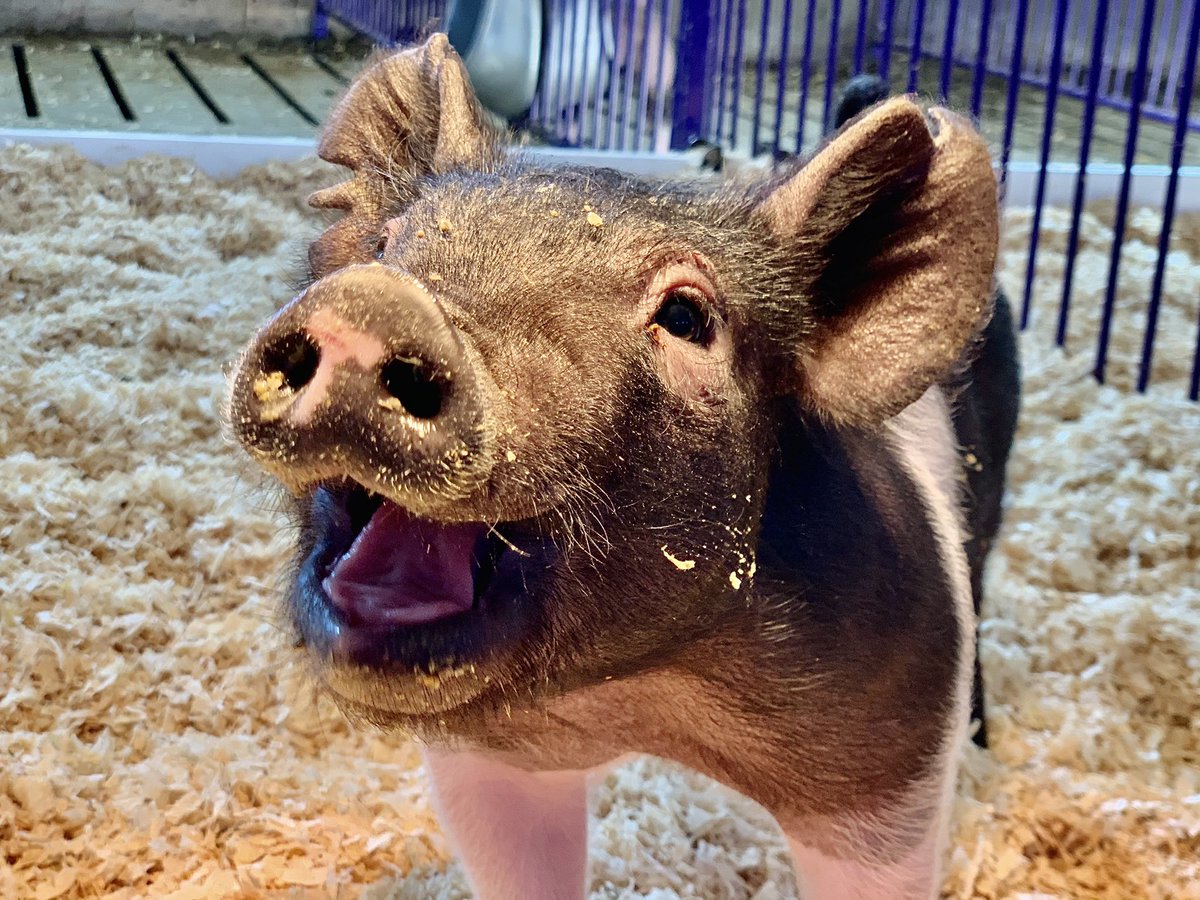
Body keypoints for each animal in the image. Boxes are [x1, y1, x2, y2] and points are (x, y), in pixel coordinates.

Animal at [227, 34, 1018, 900]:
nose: (375, 302)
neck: (636, 699)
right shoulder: (494, 768)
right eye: (386, 243)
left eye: (685, 315)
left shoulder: (888, 778)